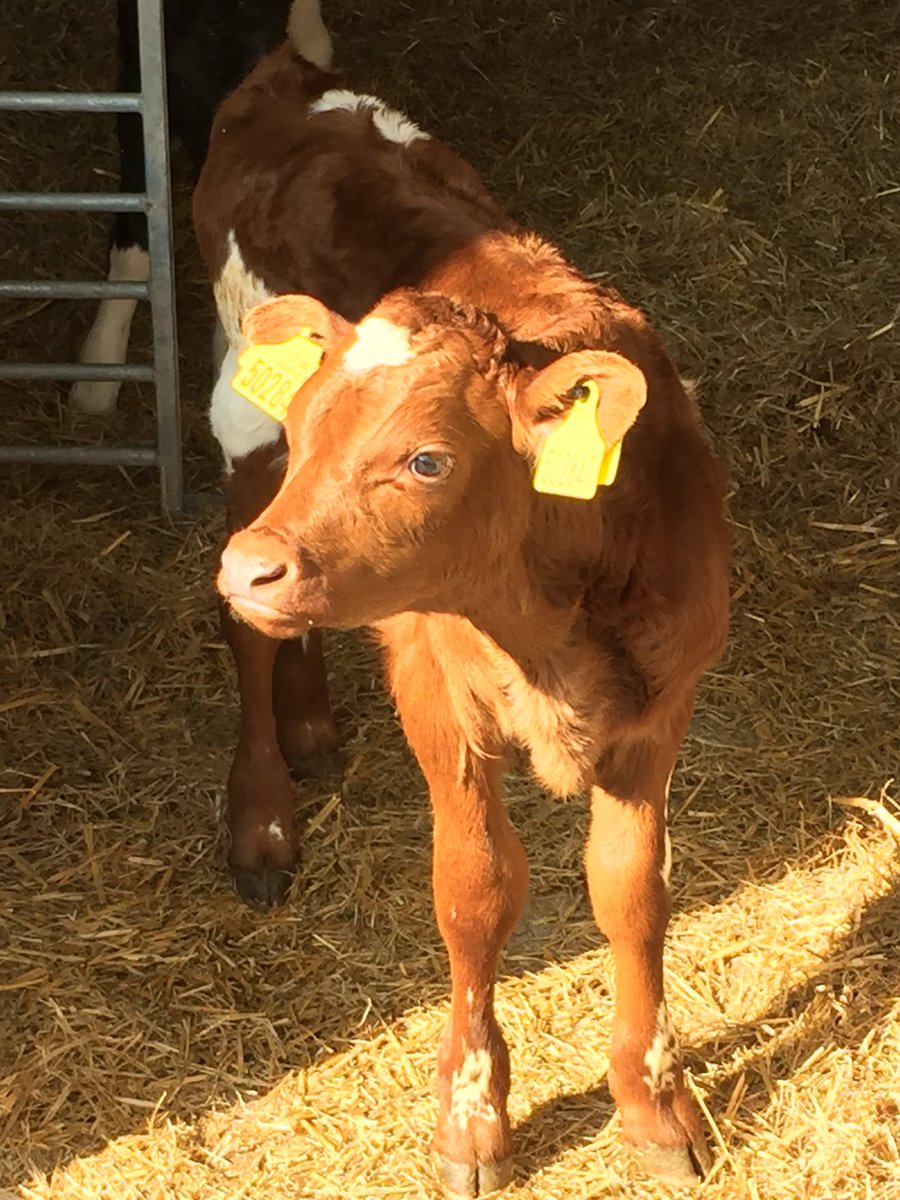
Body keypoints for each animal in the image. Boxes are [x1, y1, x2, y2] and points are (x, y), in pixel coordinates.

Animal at [194, 42, 731, 1197]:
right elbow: (477, 892)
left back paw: (312, 721)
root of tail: (293, 82)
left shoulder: (664, 701)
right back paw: (264, 809)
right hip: (243, 437)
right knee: (252, 642)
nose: (251, 566)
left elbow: (631, 890)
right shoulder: (438, 694)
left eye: (428, 460)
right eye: (314, 424)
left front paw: (654, 1106)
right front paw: (474, 1119)